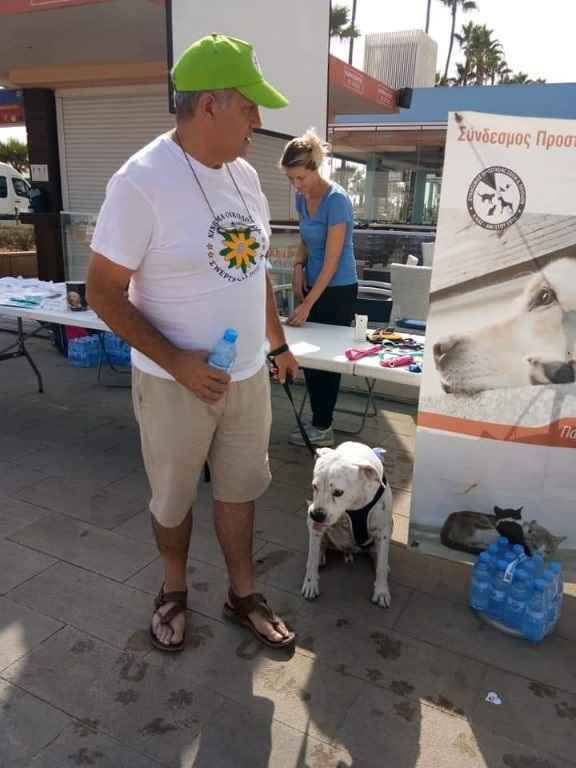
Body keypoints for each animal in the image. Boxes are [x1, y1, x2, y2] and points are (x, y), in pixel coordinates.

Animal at [304, 440, 394, 608]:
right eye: (314, 486)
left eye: (338, 492)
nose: (317, 515)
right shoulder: (314, 526)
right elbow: (311, 558)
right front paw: (310, 584)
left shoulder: (383, 531)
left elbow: (381, 567)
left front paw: (381, 591)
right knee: (320, 547)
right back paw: (320, 556)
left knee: (378, 556)